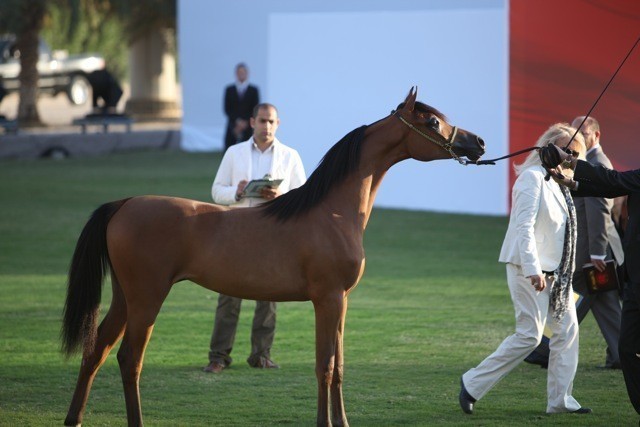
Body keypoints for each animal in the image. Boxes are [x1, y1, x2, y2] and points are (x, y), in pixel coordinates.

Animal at [61, 87, 485, 427]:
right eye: (433, 121)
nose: (478, 142)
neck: (332, 212)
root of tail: (125, 203)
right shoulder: (327, 300)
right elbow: (324, 367)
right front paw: (325, 423)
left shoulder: (343, 302)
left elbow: (340, 367)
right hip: (147, 299)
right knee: (129, 359)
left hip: (125, 298)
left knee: (96, 351)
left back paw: (74, 418)